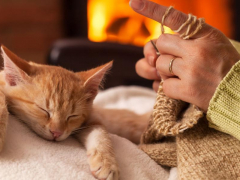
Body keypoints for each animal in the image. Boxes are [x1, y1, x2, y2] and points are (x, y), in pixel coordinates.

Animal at [0, 46, 150, 180]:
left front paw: (107, 163)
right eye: (43, 110)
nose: (56, 133)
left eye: (72, 116)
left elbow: (100, 132)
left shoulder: (90, 119)